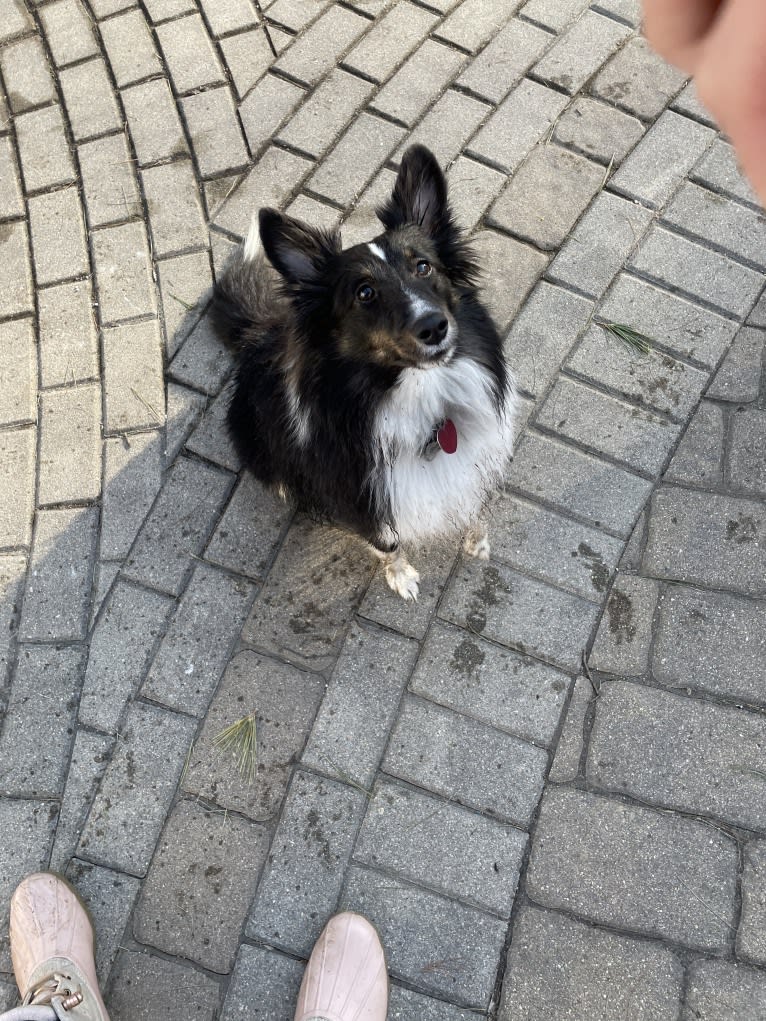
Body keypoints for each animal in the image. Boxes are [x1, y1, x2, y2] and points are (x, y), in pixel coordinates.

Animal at [213, 148, 518, 600]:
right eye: (365, 292)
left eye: (423, 267)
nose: (434, 327)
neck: (421, 401)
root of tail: (258, 333)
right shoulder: (359, 494)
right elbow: (387, 542)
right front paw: (401, 575)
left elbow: (471, 501)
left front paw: (475, 536)